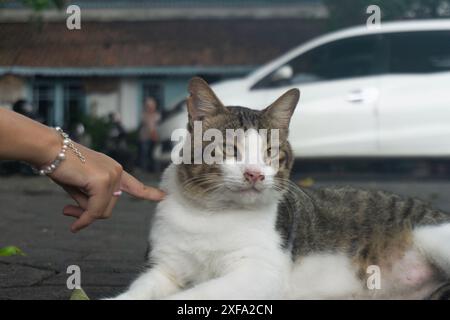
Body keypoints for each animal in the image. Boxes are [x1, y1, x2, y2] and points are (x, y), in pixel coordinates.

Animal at [110, 77, 450, 300]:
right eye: (229, 149)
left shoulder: (259, 274)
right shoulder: (164, 267)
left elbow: (191, 295)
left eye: (271, 152)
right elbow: (140, 290)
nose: (255, 174)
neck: (211, 213)